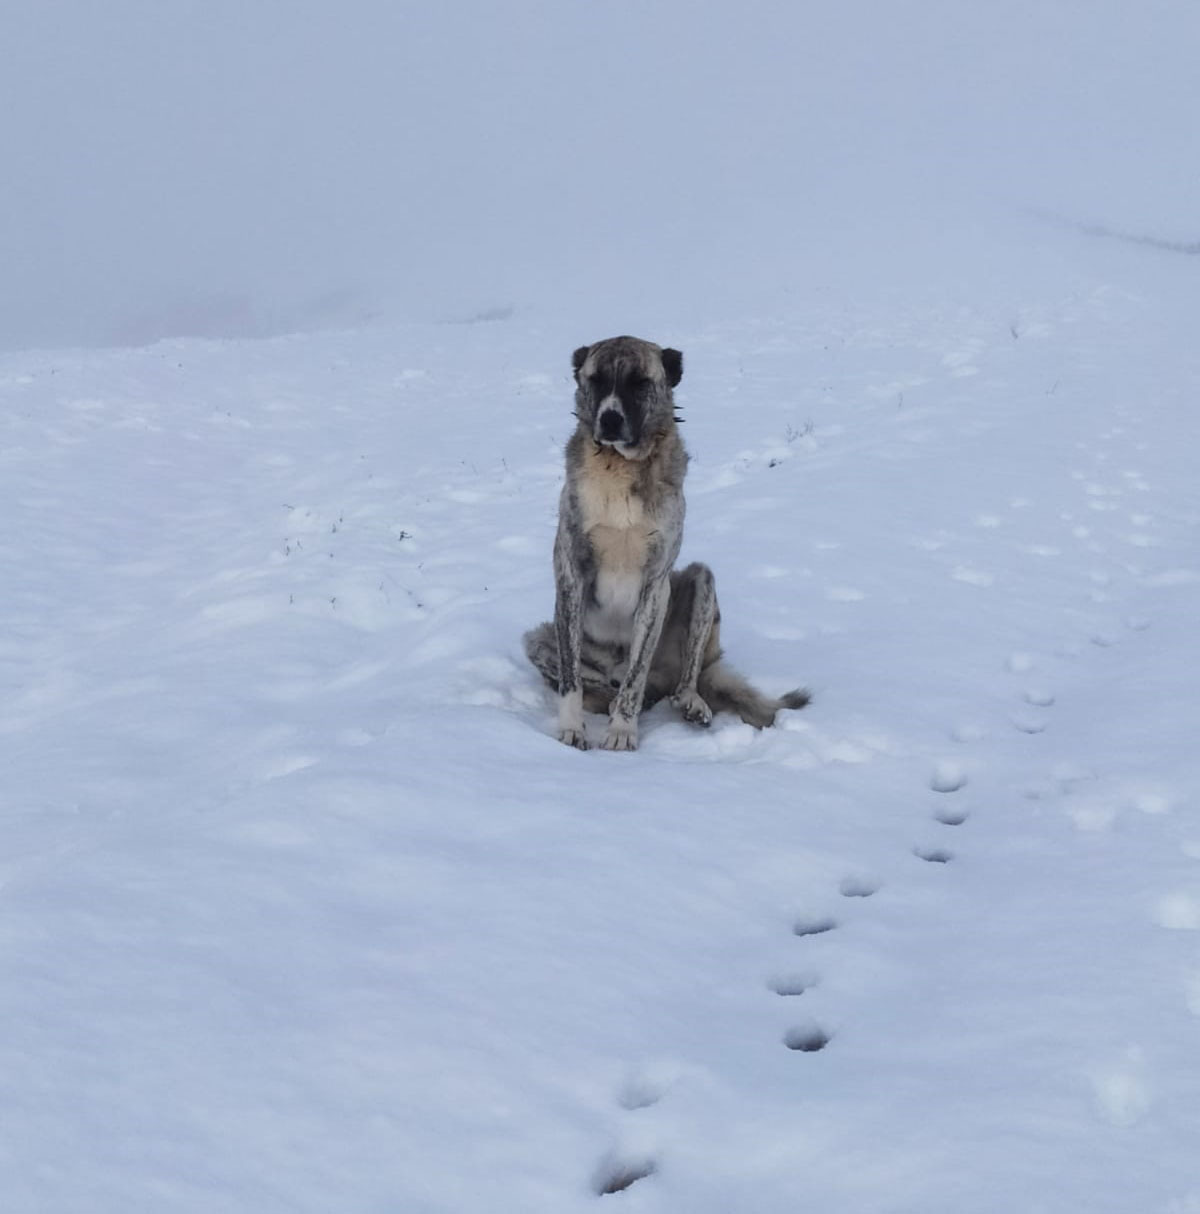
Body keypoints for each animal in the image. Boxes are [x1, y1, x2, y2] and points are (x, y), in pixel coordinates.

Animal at [522, 332, 806, 747]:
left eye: (639, 382)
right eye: (596, 380)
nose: (609, 419)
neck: (619, 467)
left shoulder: (655, 585)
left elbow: (636, 675)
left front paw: (622, 732)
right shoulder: (572, 575)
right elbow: (571, 678)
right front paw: (572, 728)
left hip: (701, 583)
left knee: (679, 680)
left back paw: (687, 702)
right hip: (538, 638)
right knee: (594, 679)